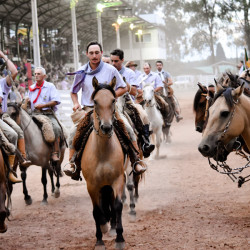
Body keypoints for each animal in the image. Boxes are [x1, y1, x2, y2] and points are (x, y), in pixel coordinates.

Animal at [80, 77, 125, 249]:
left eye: (113, 100)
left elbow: (118, 205)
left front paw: (120, 238)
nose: (106, 127)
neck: (103, 152)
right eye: (95, 101)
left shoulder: (118, 179)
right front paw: (99, 240)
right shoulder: (92, 185)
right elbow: (96, 211)